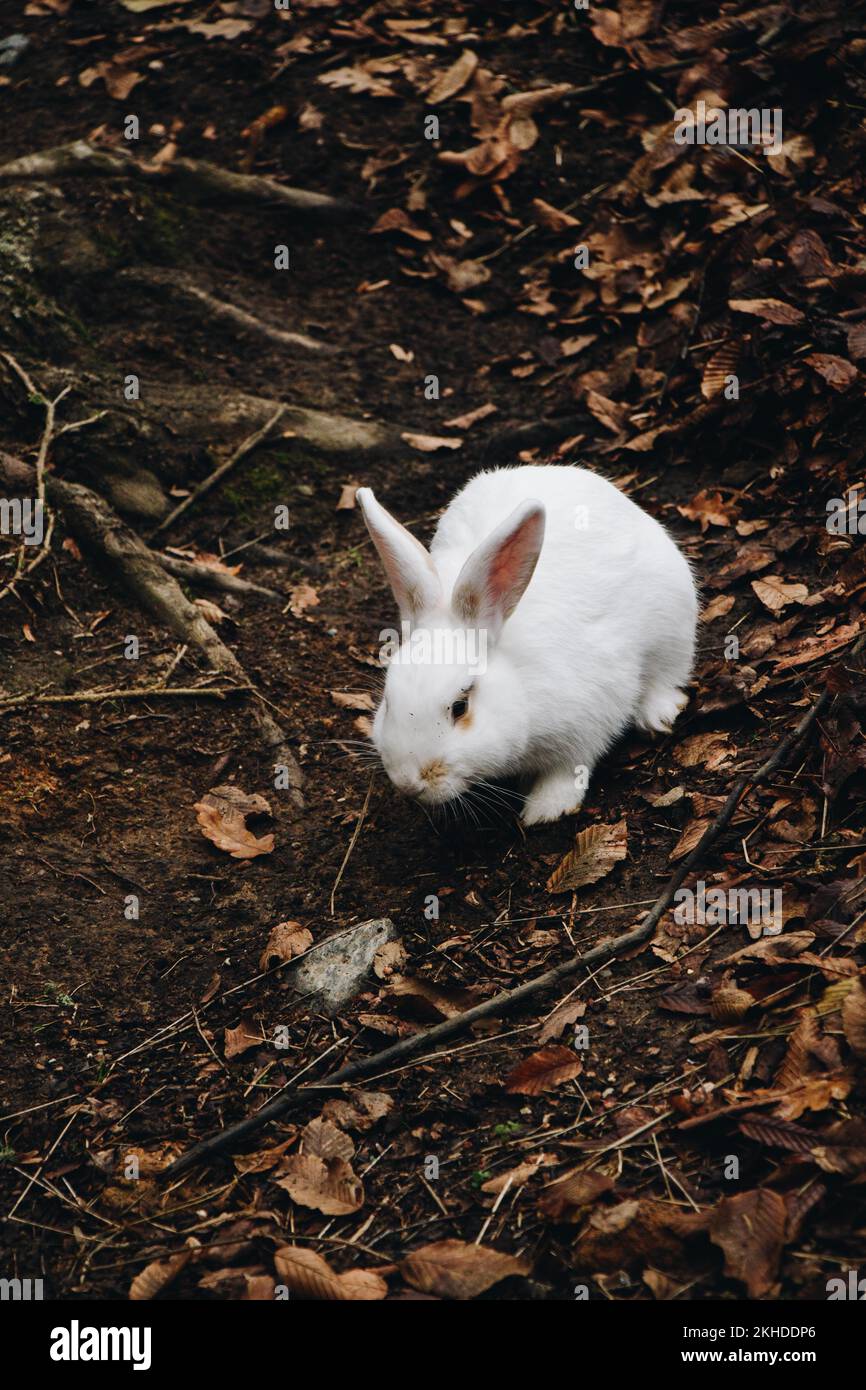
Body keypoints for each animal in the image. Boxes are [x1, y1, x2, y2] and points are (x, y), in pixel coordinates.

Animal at [356, 465, 697, 825]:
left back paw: (658, 715)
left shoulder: (590, 715)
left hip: (674, 620)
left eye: (460, 707)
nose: (408, 782)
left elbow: (569, 768)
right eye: (388, 702)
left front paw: (546, 809)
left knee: (667, 672)